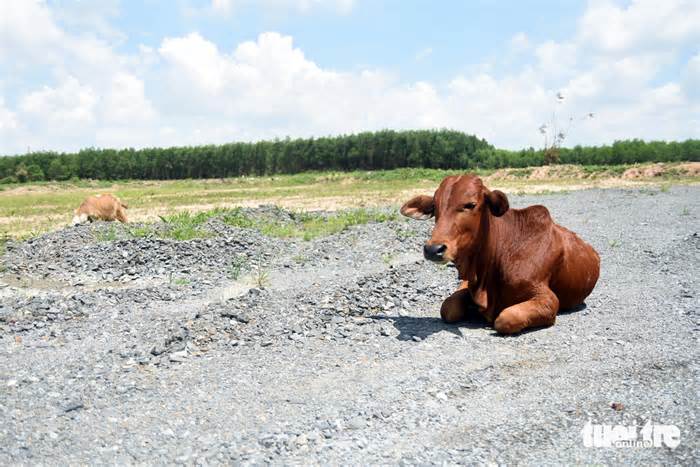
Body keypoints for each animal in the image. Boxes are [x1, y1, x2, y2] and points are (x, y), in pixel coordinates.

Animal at [402, 176, 600, 336]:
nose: (433, 249)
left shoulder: (547, 299)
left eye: (470, 205)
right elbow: (448, 308)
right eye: (434, 207)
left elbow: (506, 318)